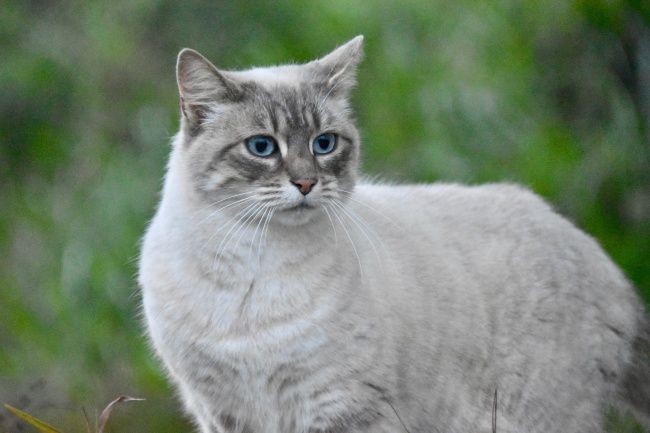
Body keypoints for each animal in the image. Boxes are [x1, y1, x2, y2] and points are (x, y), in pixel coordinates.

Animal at [138, 35, 648, 430]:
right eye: (262, 147)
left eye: (324, 144)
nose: (306, 184)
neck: (255, 265)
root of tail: (595, 253)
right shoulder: (224, 412)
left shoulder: (341, 407)